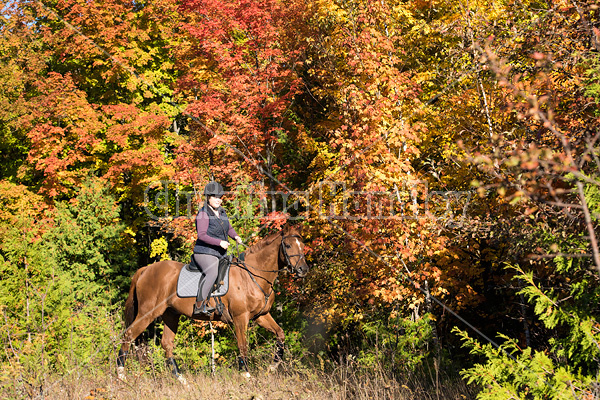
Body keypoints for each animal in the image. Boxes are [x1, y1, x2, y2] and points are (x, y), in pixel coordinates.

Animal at [116, 225, 310, 382]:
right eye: (288, 245)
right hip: (148, 312)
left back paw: (181, 380)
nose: (303, 270)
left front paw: (273, 366)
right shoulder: (241, 318)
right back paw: (121, 374)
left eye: (302, 245)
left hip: (170, 314)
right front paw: (246, 374)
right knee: (129, 335)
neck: (252, 275)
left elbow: (280, 334)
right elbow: (243, 345)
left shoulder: (261, 316)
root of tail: (146, 269)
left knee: (166, 344)